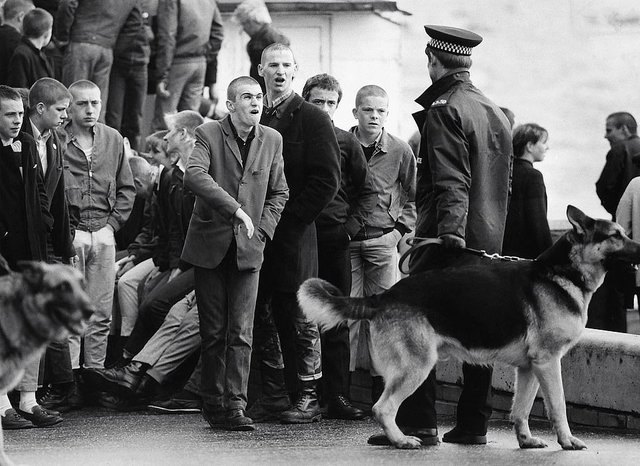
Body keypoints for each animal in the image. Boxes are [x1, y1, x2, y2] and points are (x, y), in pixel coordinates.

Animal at [298, 206, 640, 450]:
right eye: (616, 235)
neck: (561, 272)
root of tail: (385, 295)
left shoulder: (531, 367)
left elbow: (521, 409)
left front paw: (525, 440)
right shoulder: (549, 362)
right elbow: (558, 406)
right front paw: (567, 441)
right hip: (417, 366)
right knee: (382, 407)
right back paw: (401, 440)